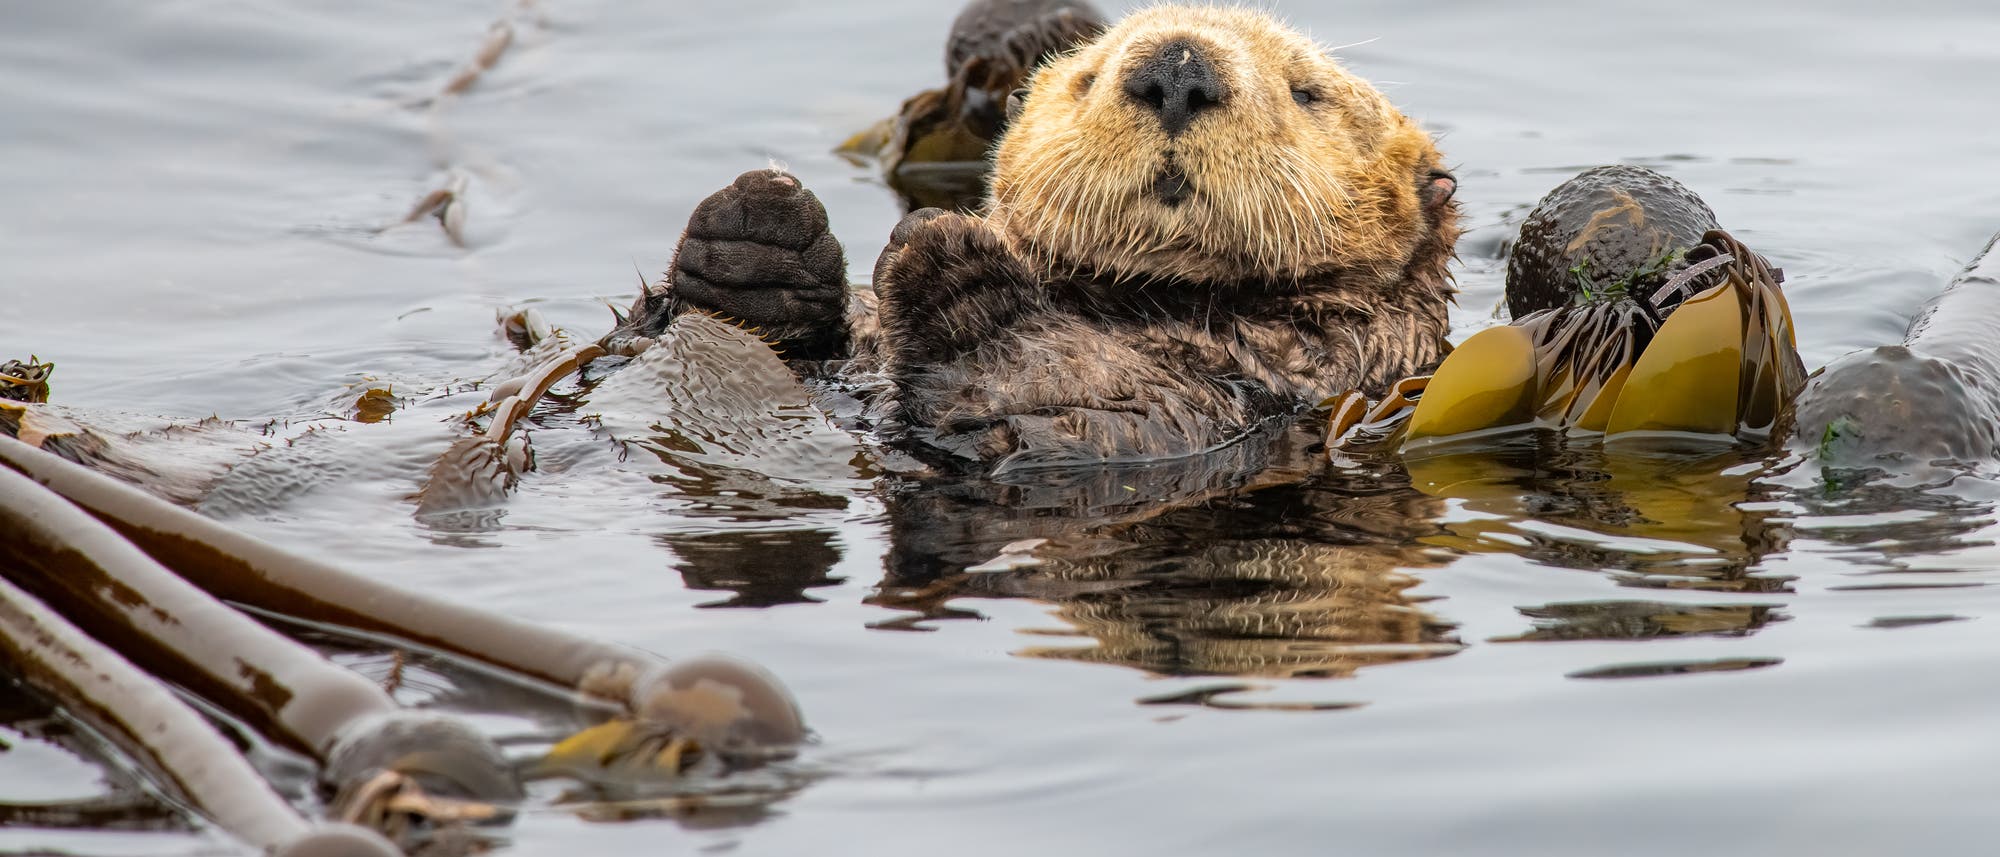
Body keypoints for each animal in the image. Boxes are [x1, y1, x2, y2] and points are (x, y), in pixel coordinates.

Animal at [611, 6, 1459, 470]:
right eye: (1087, 76)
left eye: (1307, 92)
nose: (1177, 69)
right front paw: (760, 233)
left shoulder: (1269, 379)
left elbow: (1075, 404)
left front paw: (949, 260)